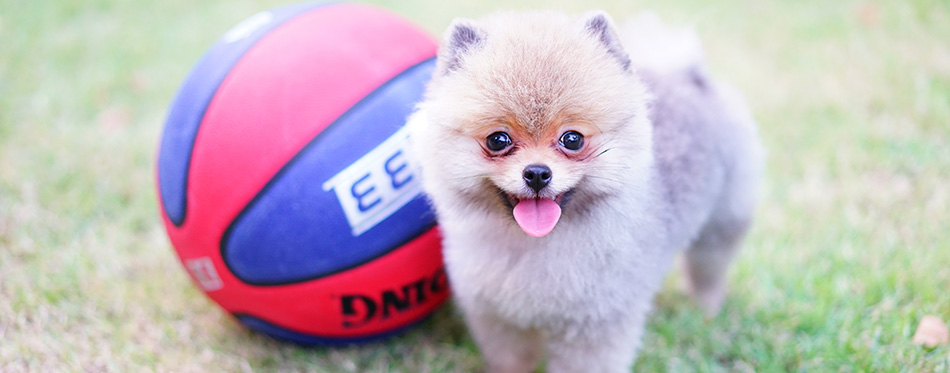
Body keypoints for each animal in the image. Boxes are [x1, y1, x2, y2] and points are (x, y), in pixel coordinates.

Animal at [406, 10, 764, 370]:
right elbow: (512, 359)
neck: (534, 246)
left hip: (723, 219)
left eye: (572, 139)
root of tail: (687, 75)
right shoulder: (499, 318)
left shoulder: (594, 324)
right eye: (498, 139)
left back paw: (705, 309)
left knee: (709, 266)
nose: (537, 173)